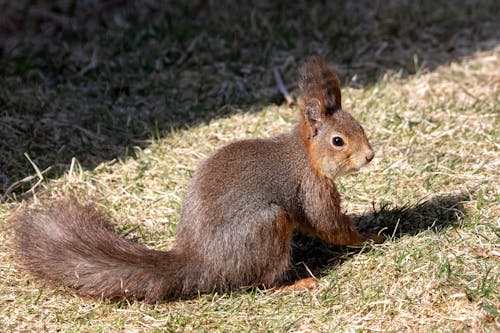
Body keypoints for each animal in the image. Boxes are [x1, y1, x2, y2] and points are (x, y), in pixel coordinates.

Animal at [7, 55, 382, 302]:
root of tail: (201, 261)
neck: (304, 156)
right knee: (261, 283)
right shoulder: (311, 188)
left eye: (360, 126)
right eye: (338, 141)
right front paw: (369, 237)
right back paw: (295, 284)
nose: (369, 155)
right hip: (269, 225)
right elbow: (329, 224)